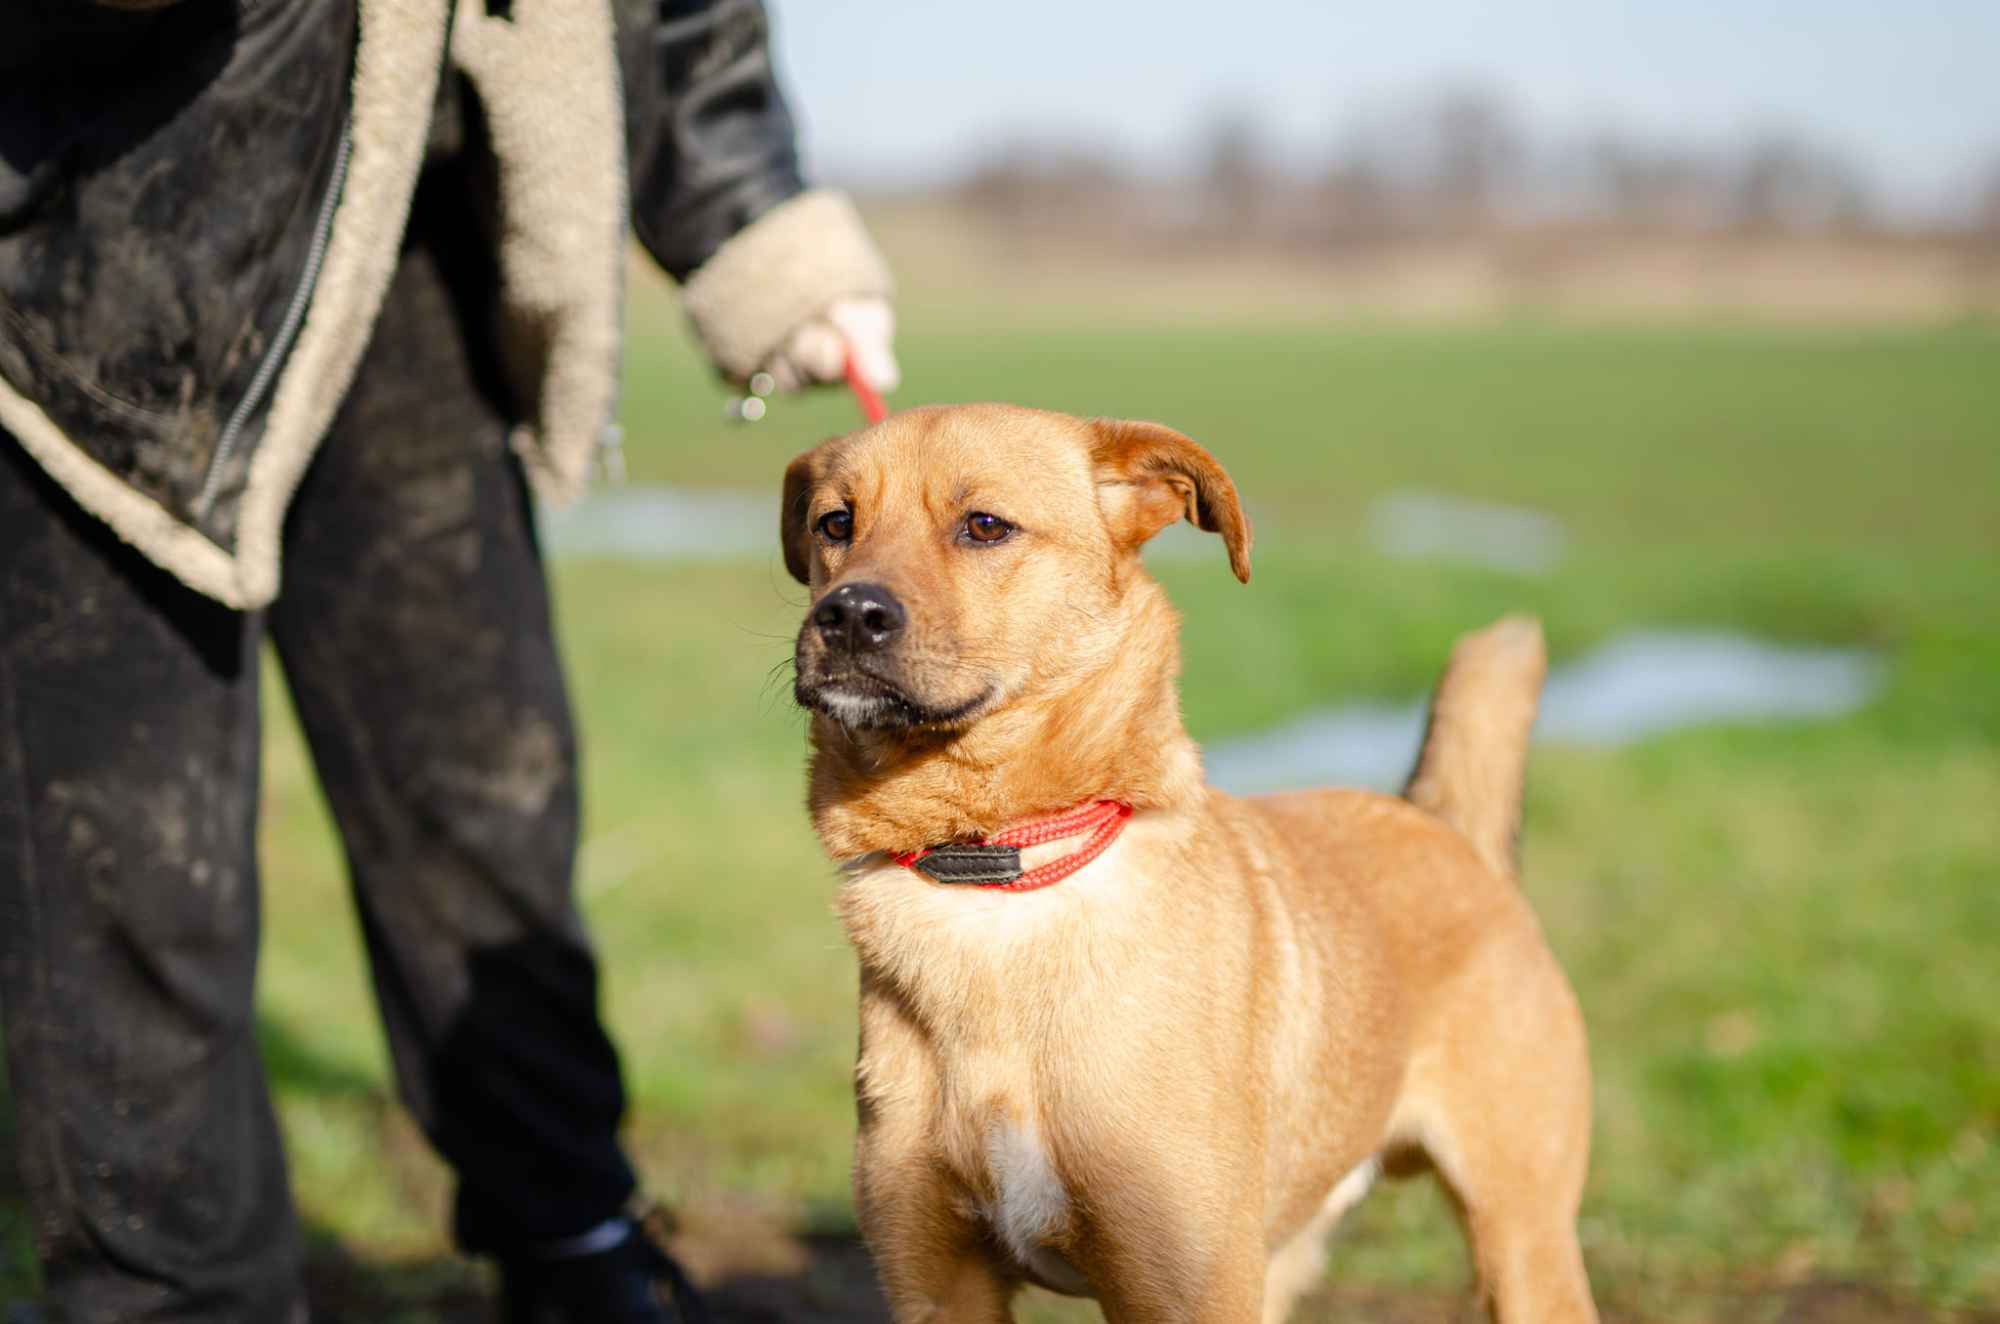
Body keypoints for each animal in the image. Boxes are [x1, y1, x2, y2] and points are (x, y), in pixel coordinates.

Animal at [776, 408, 1592, 1324]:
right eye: (834, 525)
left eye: (984, 525)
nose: (848, 615)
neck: (999, 870)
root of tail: (1446, 828)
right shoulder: (937, 1287)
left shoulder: (1186, 1287)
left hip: (1522, 1244)